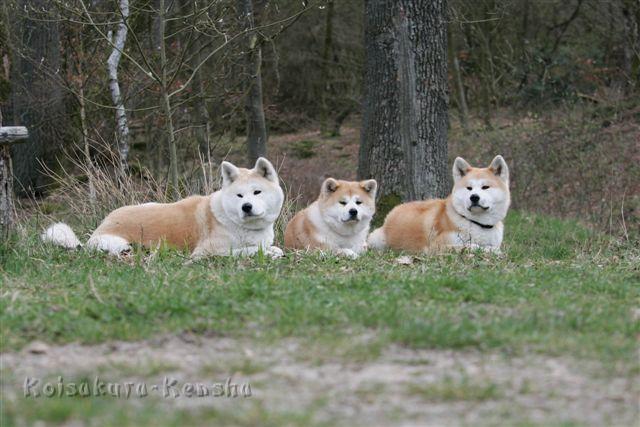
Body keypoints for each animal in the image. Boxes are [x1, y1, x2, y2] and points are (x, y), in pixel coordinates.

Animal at [42, 156, 284, 260]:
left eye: (257, 192)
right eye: (239, 195)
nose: (246, 207)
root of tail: (100, 226)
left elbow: (273, 247)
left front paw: (272, 250)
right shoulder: (206, 252)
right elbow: (252, 250)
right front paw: (267, 252)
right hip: (118, 243)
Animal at [368, 155, 512, 252]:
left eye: (485, 187)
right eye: (469, 188)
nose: (474, 197)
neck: (478, 224)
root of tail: (392, 212)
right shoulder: (438, 246)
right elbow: (472, 246)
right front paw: (488, 250)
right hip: (378, 241)